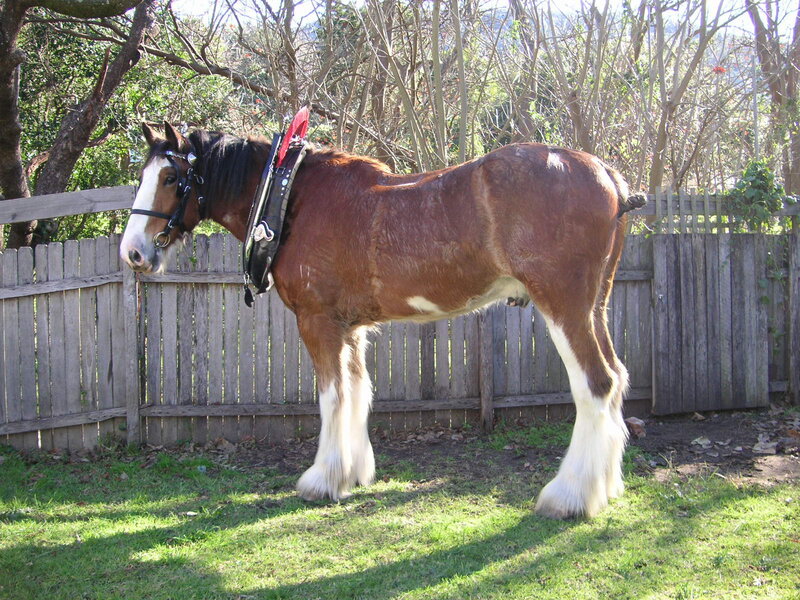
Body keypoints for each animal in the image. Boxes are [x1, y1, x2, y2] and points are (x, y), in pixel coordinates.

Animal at [120, 122, 646, 519]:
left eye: (171, 179)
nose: (133, 252)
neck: (290, 197)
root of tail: (608, 175)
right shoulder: (349, 328)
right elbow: (358, 392)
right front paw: (353, 473)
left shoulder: (318, 322)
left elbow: (332, 397)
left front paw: (322, 479)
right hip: (593, 306)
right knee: (617, 378)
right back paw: (604, 487)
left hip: (564, 305)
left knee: (595, 383)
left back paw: (569, 496)